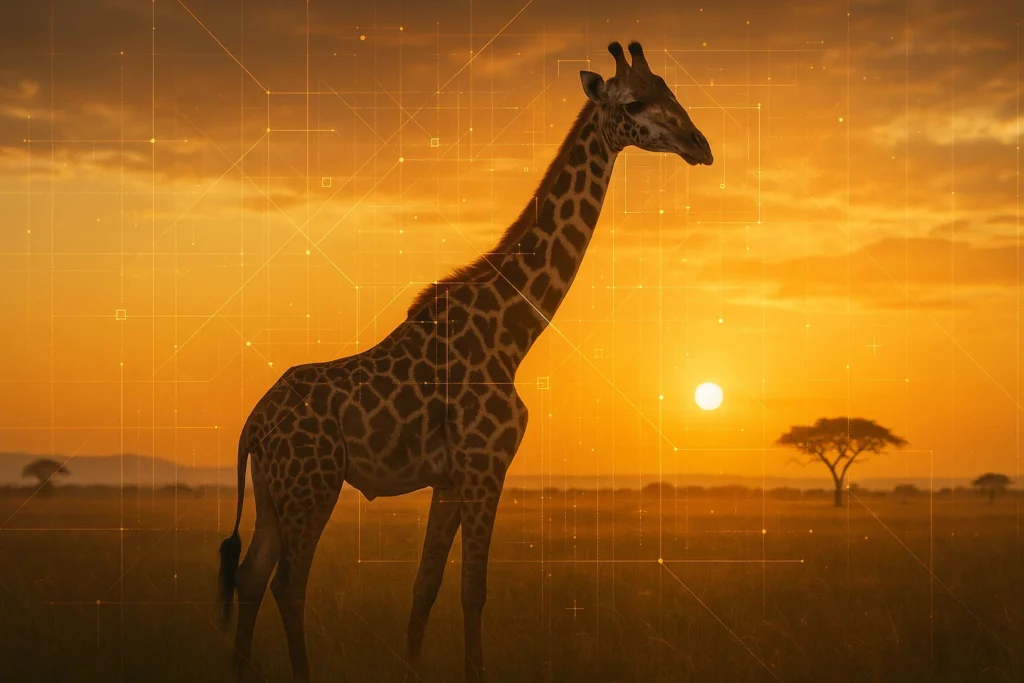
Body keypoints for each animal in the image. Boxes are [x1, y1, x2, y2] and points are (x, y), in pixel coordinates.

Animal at [217, 40, 713, 683]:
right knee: (287, 585)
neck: (513, 334)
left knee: (251, 577)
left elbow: (424, 588)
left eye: (670, 90)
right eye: (633, 103)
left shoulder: (450, 478)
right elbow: (472, 591)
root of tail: (254, 426)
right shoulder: (485, 465)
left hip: (275, 492)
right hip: (312, 484)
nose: (700, 144)